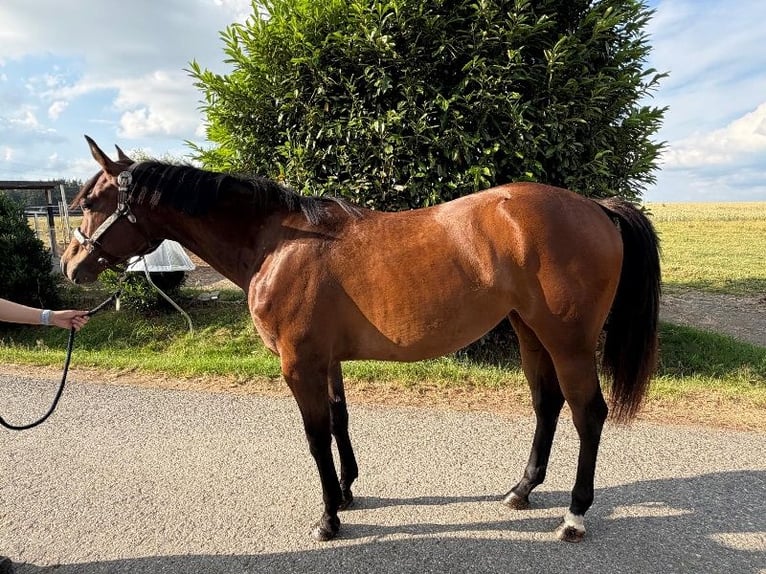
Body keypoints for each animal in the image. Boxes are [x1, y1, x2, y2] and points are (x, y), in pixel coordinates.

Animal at [61, 136, 660, 543]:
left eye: (89, 203)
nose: (70, 266)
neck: (279, 243)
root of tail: (596, 206)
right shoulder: (325, 360)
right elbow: (338, 420)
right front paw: (347, 492)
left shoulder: (298, 364)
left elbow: (314, 435)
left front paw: (328, 516)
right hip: (529, 330)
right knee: (547, 405)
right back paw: (521, 490)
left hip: (568, 340)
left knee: (588, 413)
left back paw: (575, 514)